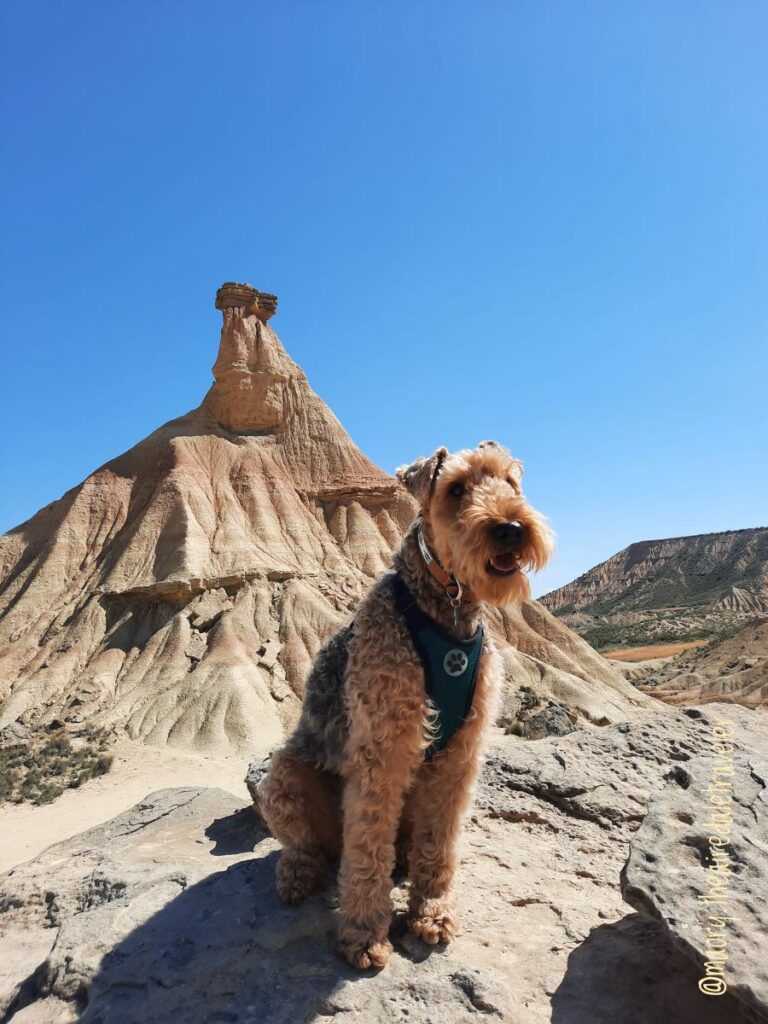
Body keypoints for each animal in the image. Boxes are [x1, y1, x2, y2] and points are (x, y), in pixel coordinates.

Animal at [257, 440, 552, 966]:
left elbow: (440, 843)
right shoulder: (384, 745)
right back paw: (298, 874)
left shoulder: (461, 754)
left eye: (511, 484)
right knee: (312, 847)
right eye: (455, 489)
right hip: (285, 777)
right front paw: (364, 936)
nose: (511, 528)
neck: (446, 609)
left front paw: (431, 912)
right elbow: (367, 848)